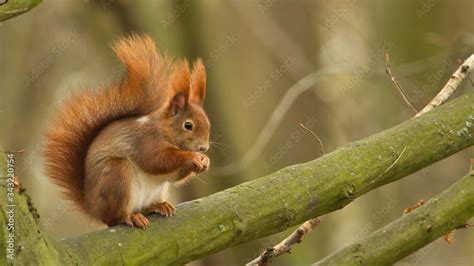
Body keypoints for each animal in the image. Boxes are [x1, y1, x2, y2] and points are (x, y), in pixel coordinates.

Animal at [43, 33, 210, 229]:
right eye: (188, 125)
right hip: (117, 175)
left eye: (208, 123)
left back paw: (157, 206)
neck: (163, 129)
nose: (204, 148)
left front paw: (204, 161)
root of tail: (92, 207)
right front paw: (192, 157)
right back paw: (129, 217)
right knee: (113, 218)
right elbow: (155, 160)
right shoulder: (145, 141)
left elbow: (172, 175)